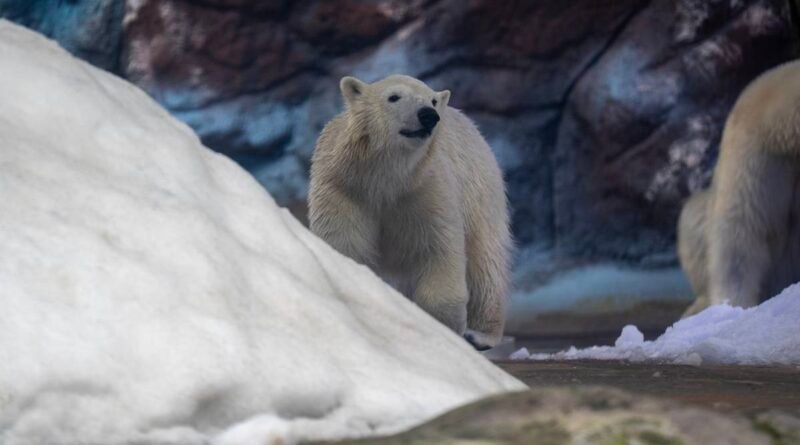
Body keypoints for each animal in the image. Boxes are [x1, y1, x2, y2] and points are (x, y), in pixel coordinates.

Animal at [308, 74, 511, 350]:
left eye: (432, 100)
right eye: (394, 97)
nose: (428, 115)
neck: (383, 178)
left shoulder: (427, 189)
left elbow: (438, 250)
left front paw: (443, 330)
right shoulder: (343, 189)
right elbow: (344, 245)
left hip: (479, 189)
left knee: (485, 259)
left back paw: (480, 334)